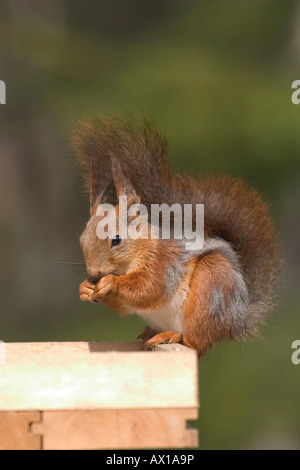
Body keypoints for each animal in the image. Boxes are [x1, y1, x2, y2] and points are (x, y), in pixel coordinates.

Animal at [72, 114, 282, 356]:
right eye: (81, 240)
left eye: (116, 240)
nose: (93, 274)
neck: (129, 261)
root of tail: (239, 319)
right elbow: (126, 307)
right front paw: (85, 288)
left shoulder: (162, 261)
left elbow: (151, 289)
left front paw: (110, 282)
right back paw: (151, 333)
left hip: (209, 289)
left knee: (197, 343)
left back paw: (173, 336)